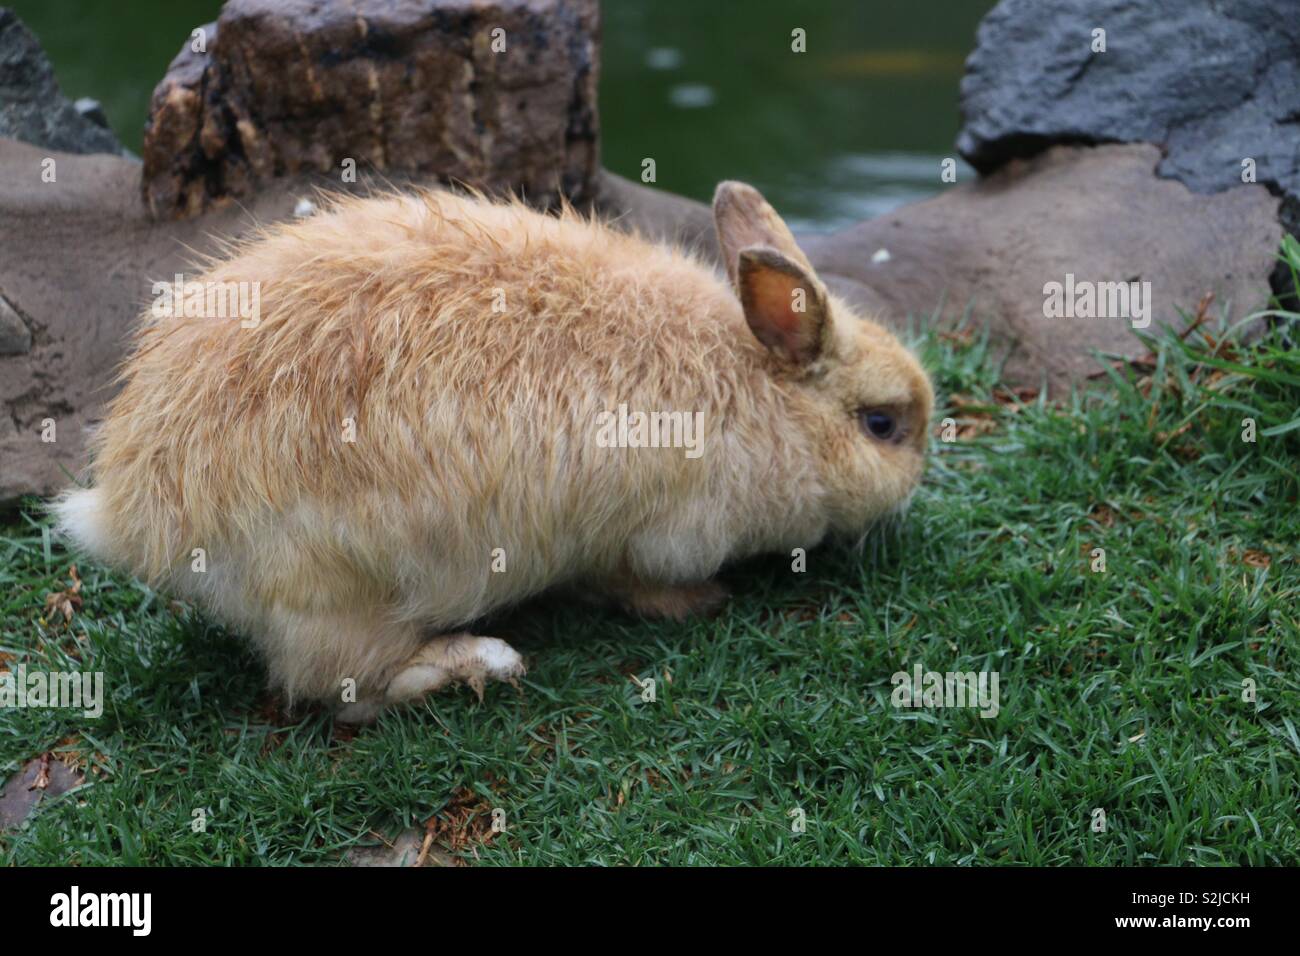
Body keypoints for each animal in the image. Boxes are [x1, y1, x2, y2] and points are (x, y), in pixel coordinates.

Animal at [53, 180, 934, 721]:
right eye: (881, 425)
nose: (915, 483)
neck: (758, 389)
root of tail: (132, 514)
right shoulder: (651, 536)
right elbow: (637, 582)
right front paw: (697, 602)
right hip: (336, 594)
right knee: (347, 691)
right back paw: (482, 660)